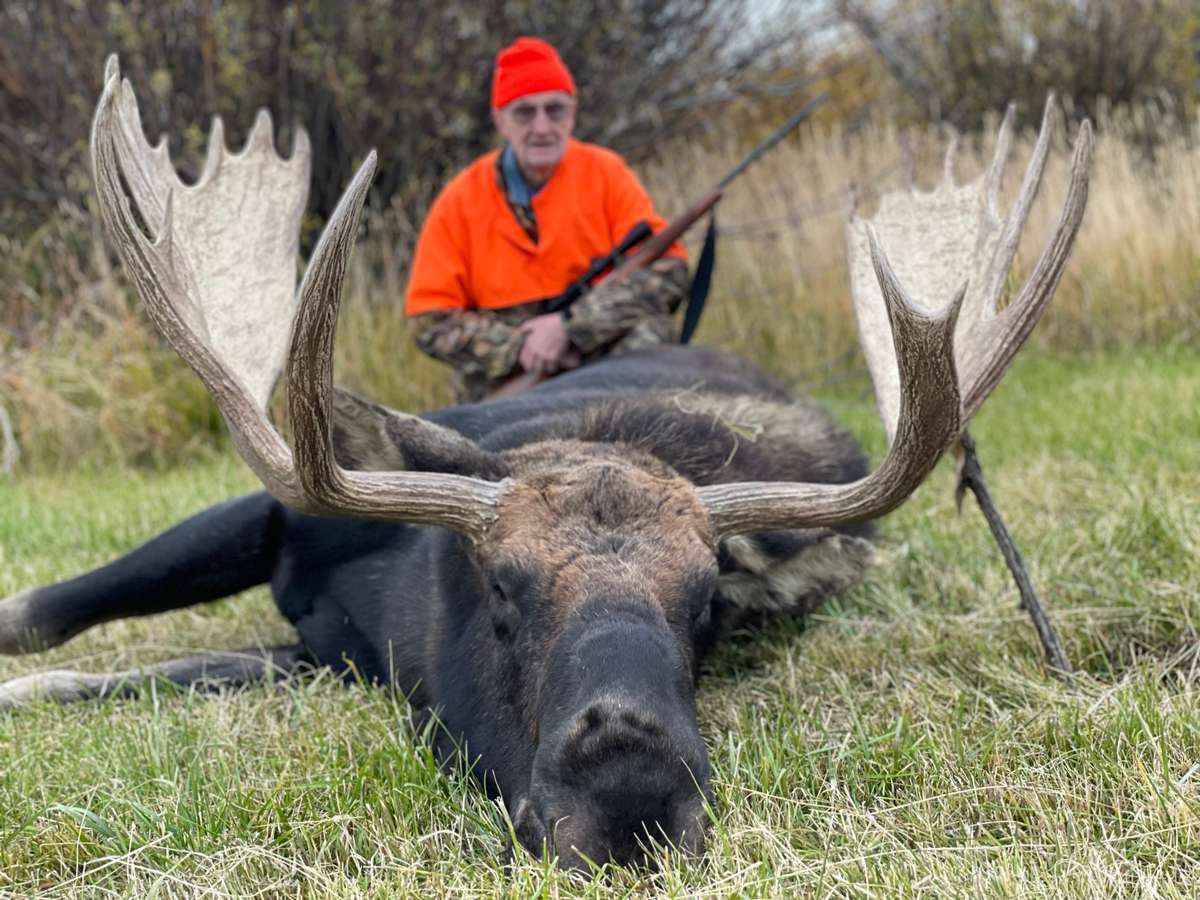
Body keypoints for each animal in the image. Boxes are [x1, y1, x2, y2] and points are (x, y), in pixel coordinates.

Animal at [0, 56, 1091, 869]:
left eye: (708, 605)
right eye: (500, 587)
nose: (630, 800)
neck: (393, 610)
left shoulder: (331, 655)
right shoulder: (274, 515)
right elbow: (49, 611)